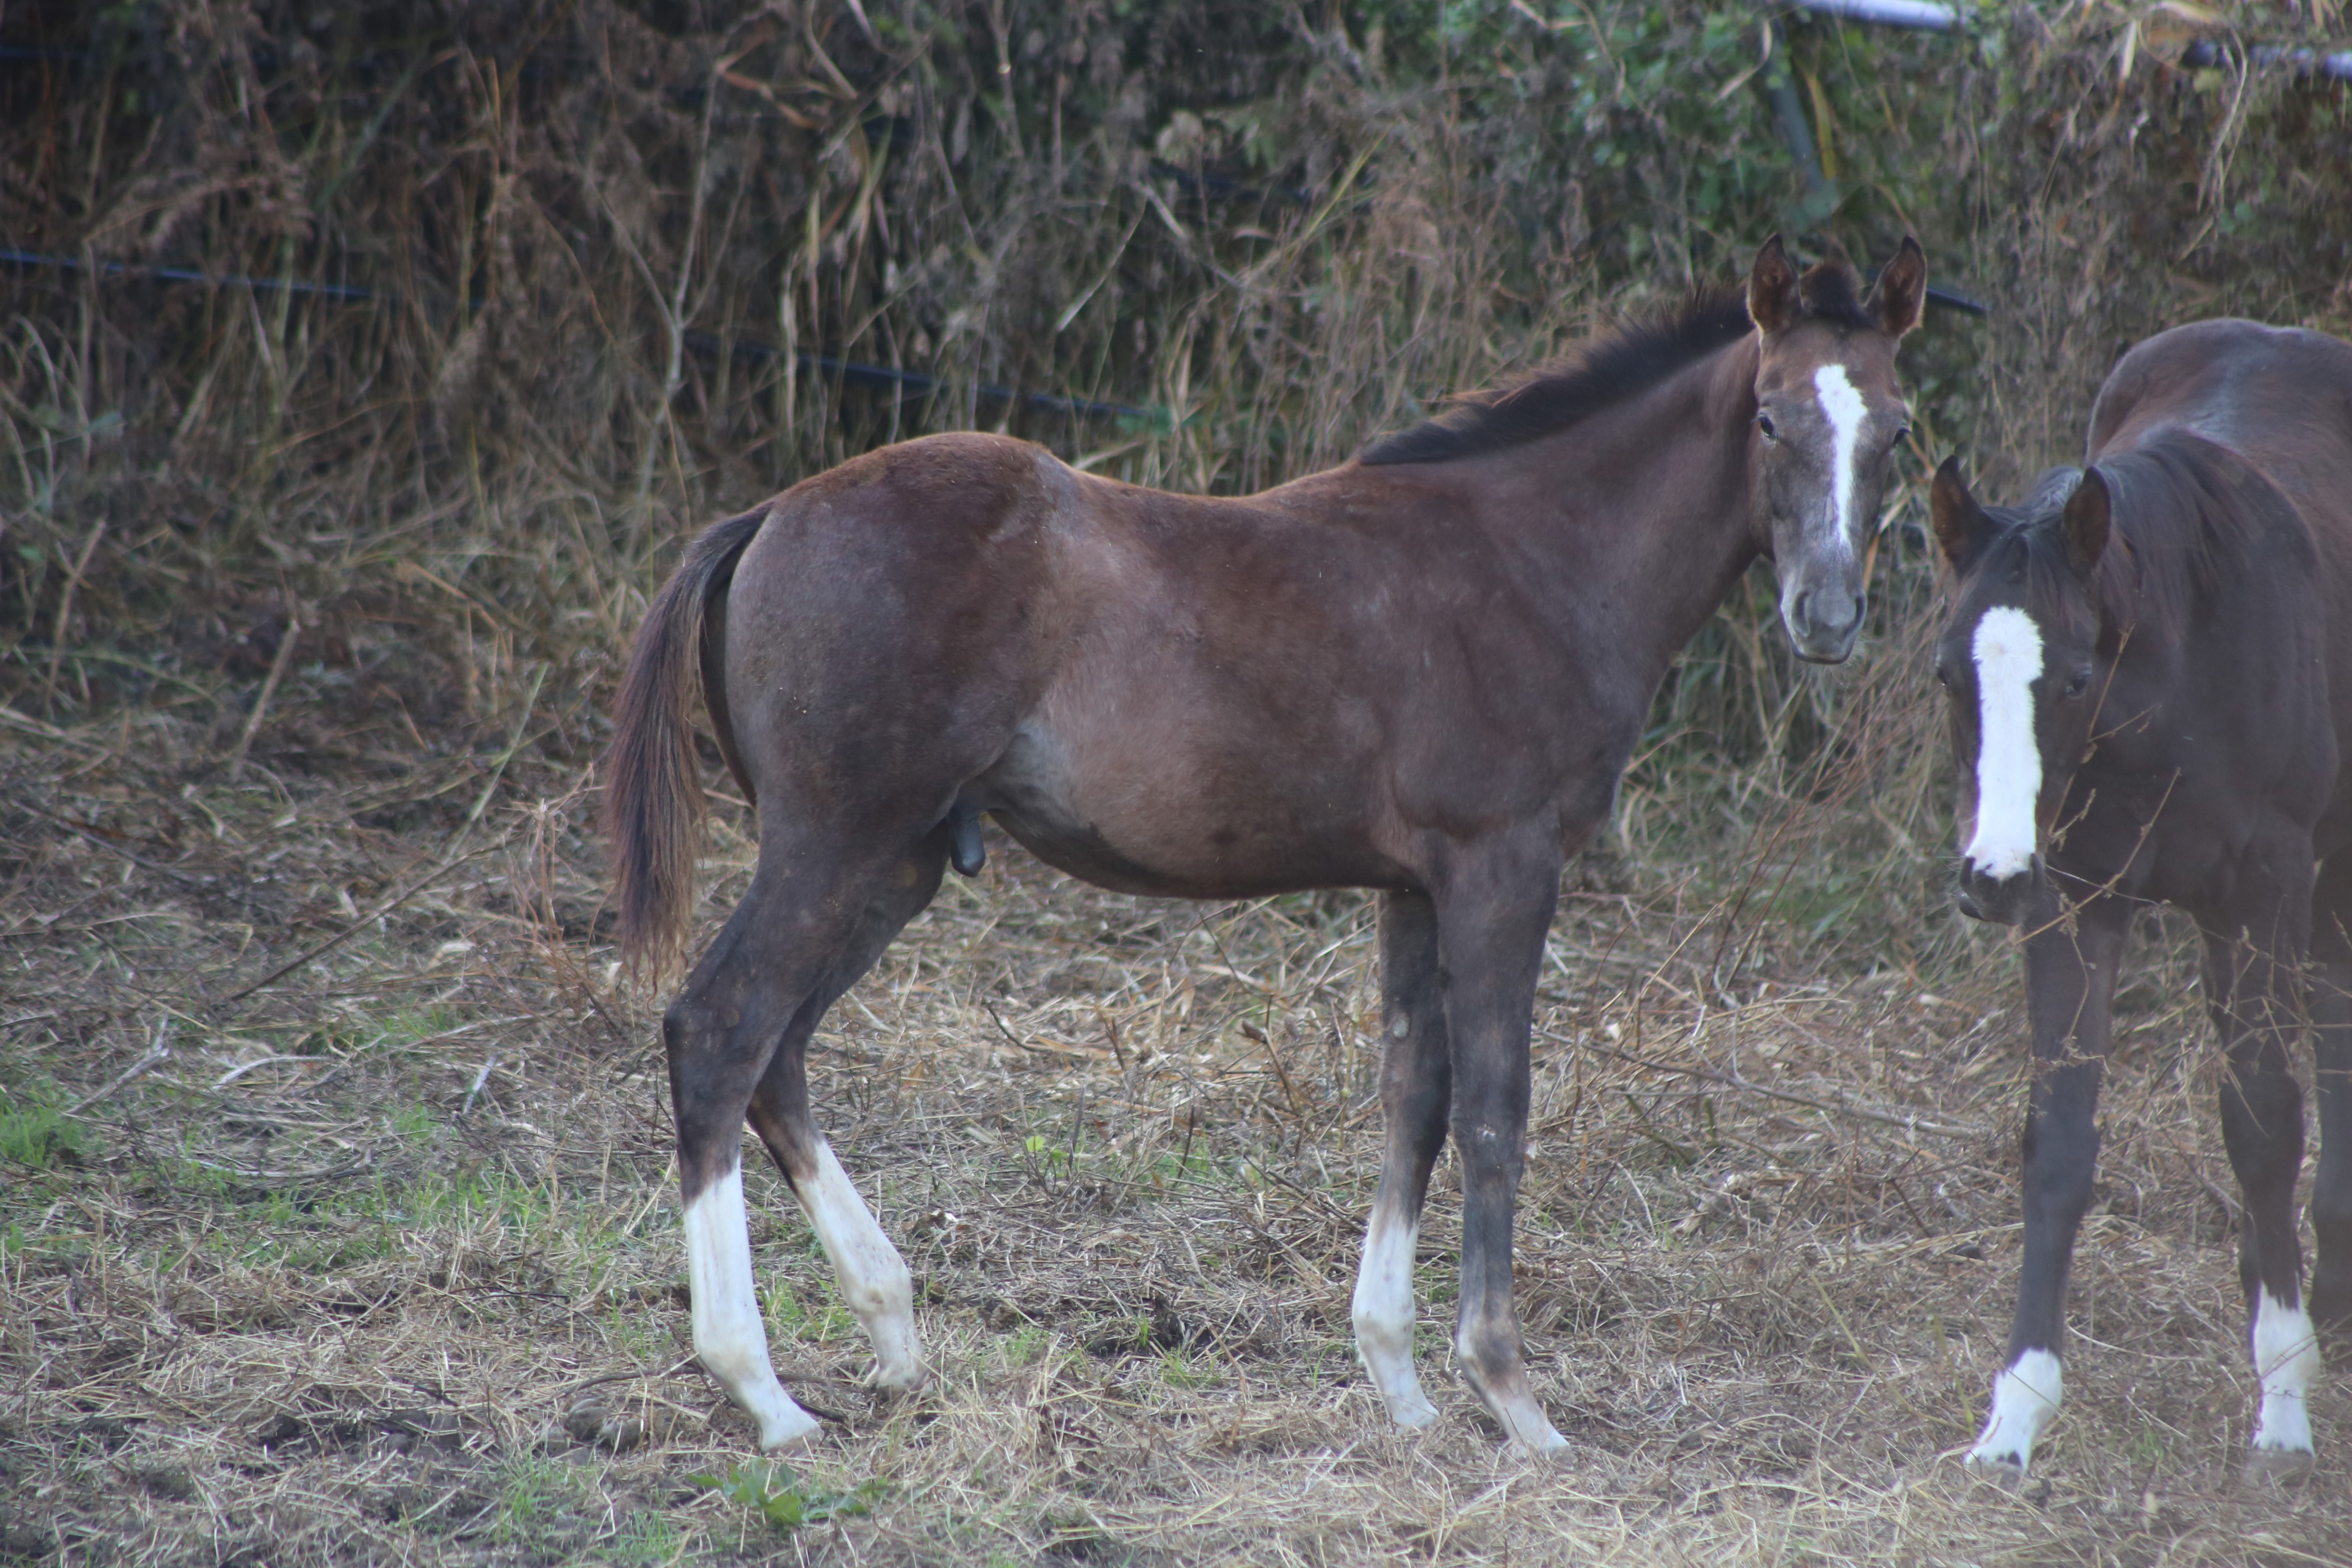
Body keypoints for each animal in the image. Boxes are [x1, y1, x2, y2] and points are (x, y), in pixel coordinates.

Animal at [606, 236, 1928, 1457]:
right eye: (1767, 417)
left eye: (1897, 432)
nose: (1825, 617)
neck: (1533, 561)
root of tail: (767, 517)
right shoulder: (1502, 867)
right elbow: (1496, 1109)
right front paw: (1512, 1399)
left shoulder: (1414, 886)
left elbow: (1414, 1100)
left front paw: (1398, 1383)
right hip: (834, 841)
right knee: (721, 1028)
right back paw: (762, 1390)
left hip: (895, 863)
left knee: (778, 1053)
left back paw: (887, 1327)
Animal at [1928, 319, 2352, 1486]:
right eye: (1946, 676)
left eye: (2073, 678)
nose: (1987, 876)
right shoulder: (2072, 903)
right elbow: (2058, 1142)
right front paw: (2014, 1414)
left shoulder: (2259, 891)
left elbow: (2261, 1123)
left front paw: (2283, 1403)